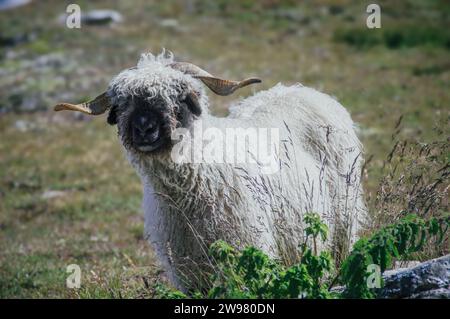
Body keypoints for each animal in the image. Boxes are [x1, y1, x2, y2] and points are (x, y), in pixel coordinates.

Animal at [54, 50, 368, 292]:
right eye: (121, 105)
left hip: (343, 221)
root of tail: (297, 89)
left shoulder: (243, 256)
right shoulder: (188, 273)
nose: (144, 129)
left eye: (178, 99)